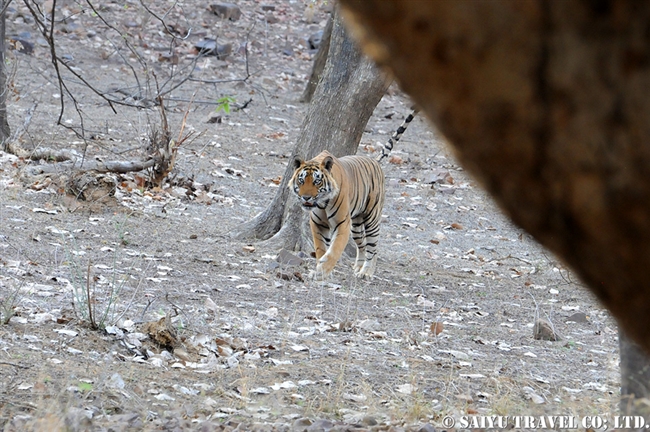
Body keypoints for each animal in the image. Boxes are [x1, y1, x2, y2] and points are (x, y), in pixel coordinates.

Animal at [288, 150, 384, 278]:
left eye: (317, 182)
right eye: (301, 181)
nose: (306, 197)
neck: (323, 203)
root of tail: (374, 160)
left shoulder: (342, 223)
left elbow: (335, 249)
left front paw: (323, 271)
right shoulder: (318, 224)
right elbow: (321, 248)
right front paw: (319, 269)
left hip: (372, 220)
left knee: (372, 248)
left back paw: (366, 272)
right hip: (356, 227)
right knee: (363, 245)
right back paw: (358, 267)